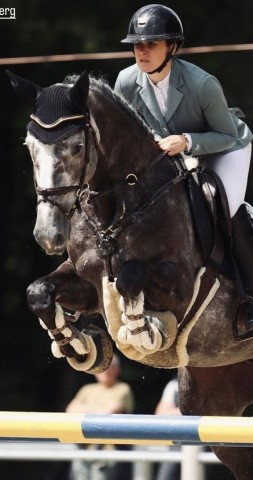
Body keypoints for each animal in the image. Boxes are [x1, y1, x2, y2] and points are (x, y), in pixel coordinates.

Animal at [7, 69, 253, 478]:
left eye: (76, 147)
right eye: (29, 146)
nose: (48, 235)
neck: (118, 206)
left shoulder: (183, 287)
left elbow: (130, 277)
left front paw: (144, 332)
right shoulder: (86, 282)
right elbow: (39, 292)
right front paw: (80, 345)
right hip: (214, 401)